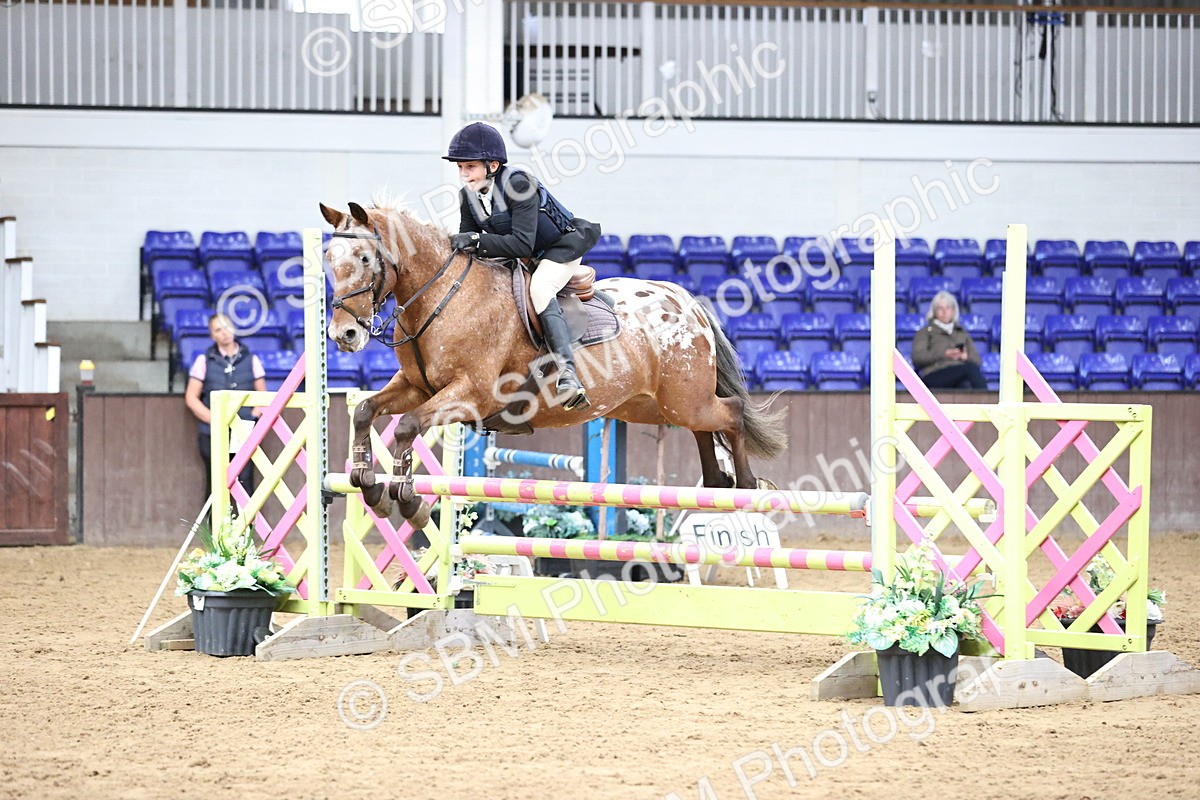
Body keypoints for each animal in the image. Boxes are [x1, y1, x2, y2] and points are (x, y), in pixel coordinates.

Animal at [320, 201, 787, 529]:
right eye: (329, 260)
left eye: (365, 259)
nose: (344, 335)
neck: (442, 296)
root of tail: (687, 301)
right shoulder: (417, 387)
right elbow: (365, 411)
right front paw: (367, 484)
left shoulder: (469, 393)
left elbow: (407, 427)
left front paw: (408, 499)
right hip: (655, 405)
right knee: (705, 429)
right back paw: (719, 485)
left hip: (685, 398)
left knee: (732, 414)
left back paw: (747, 489)